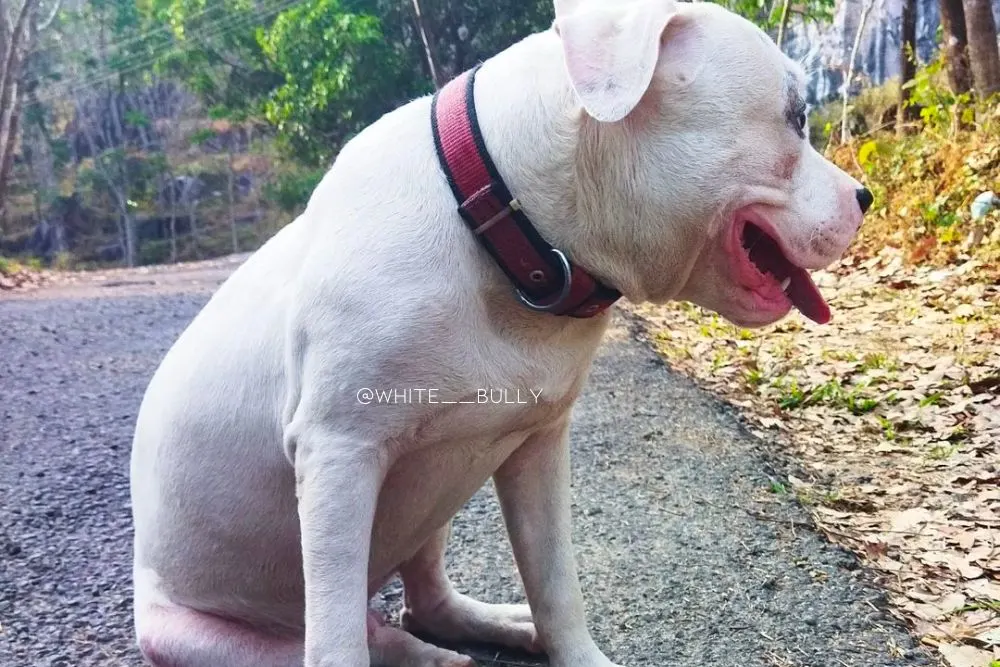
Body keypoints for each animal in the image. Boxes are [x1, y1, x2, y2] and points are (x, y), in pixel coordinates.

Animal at [129, 0, 872, 664]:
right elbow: (335, 643)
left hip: (429, 506)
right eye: (796, 118)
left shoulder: (537, 447)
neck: (503, 224)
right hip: (194, 631)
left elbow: (556, 585)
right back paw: (413, 652)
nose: (865, 197)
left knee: (424, 601)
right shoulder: (340, 457)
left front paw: (573, 650)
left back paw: (487, 631)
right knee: (346, 636)